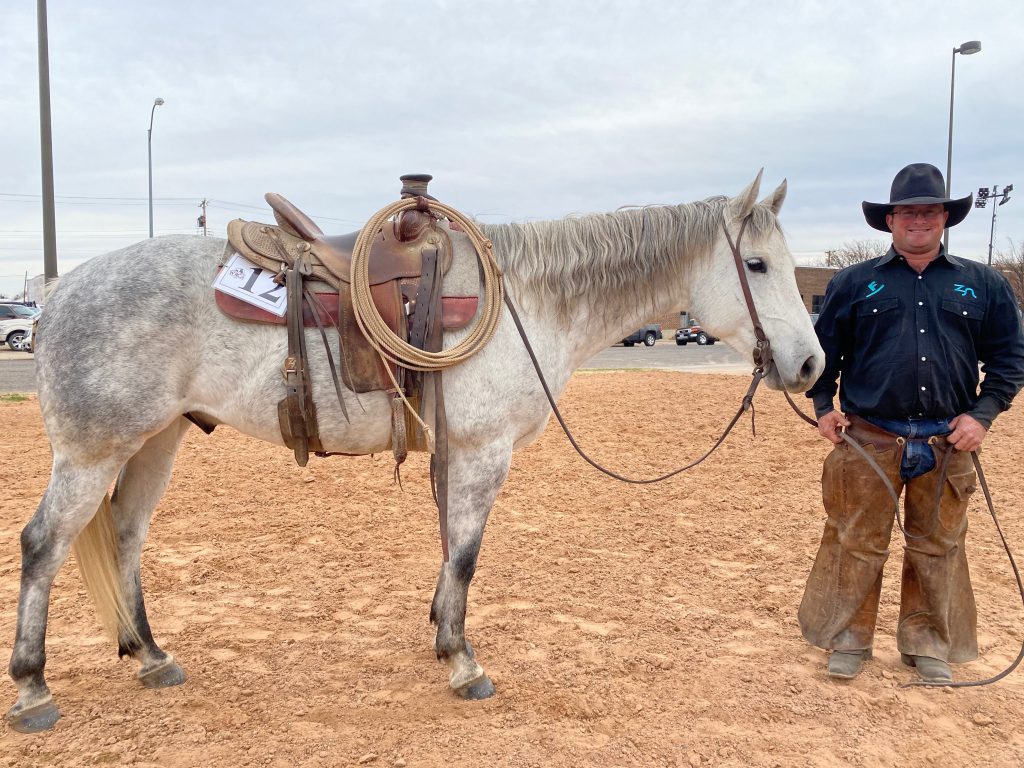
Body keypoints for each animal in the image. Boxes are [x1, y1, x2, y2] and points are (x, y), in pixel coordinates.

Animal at [6, 171, 825, 732]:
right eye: (756, 265)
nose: (813, 365)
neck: (527, 297)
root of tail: (60, 292)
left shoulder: (455, 453)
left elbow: (449, 549)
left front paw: (440, 634)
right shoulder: (483, 451)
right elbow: (465, 555)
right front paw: (463, 661)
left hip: (156, 441)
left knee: (124, 537)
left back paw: (151, 655)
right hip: (93, 452)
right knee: (44, 544)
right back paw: (33, 686)